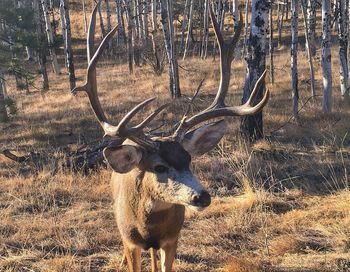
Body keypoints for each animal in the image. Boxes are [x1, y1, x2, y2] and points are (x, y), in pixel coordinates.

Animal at [72, 1, 270, 270]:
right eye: (159, 167)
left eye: (188, 160)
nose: (202, 197)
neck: (148, 229)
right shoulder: (130, 242)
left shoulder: (172, 239)